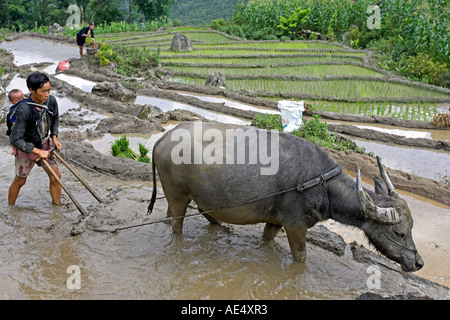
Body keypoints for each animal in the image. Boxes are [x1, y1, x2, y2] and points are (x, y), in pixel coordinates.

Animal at [148, 121, 422, 272]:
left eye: (411, 229)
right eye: (399, 233)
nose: (418, 262)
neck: (320, 184)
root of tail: (165, 137)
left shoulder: (275, 221)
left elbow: (267, 239)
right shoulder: (295, 225)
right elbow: (300, 258)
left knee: (196, 211)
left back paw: (221, 226)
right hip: (178, 195)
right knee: (176, 222)